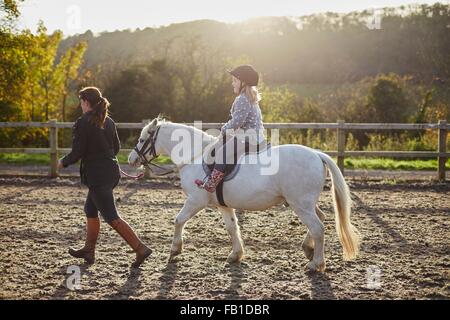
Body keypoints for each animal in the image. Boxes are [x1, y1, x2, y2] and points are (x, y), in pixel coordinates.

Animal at [128, 119, 360, 272]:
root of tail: (317, 154)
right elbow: (232, 227)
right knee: (320, 218)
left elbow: (178, 220)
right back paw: (308, 249)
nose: (131, 159)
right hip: (305, 203)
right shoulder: (223, 205)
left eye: (142, 139)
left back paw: (315, 264)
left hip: (300, 204)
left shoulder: (195, 201)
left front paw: (175, 250)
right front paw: (235, 255)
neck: (195, 156)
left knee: (318, 228)